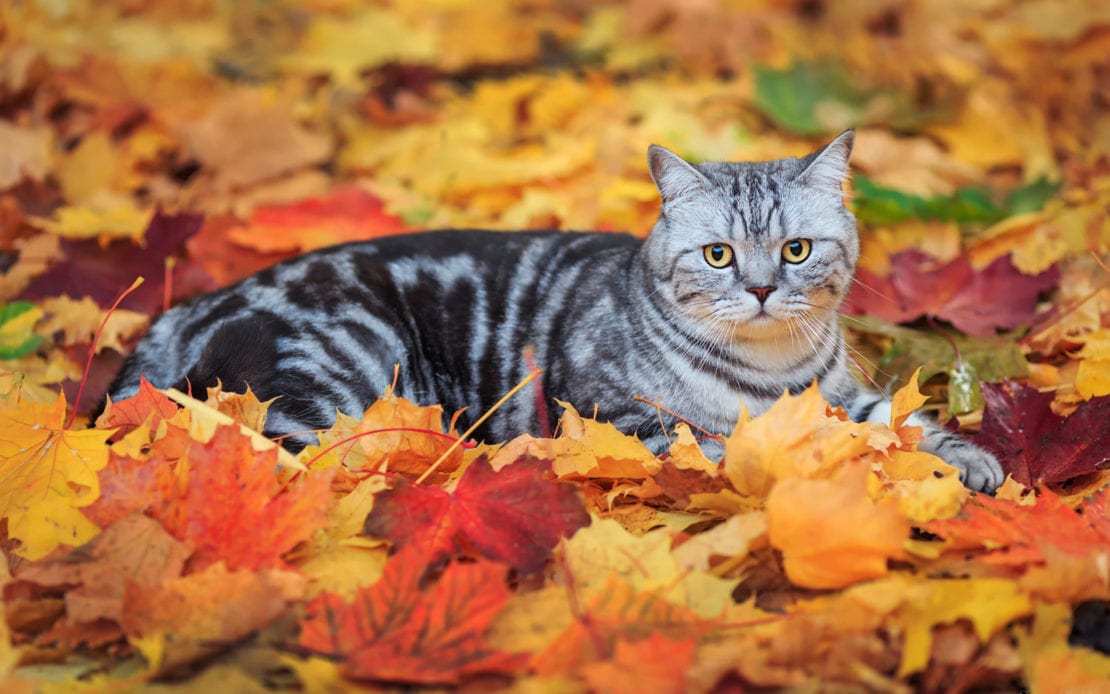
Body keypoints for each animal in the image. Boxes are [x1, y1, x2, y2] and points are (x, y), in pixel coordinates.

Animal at [106, 128, 1007, 486]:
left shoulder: (848, 390)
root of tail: (188, 309)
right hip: (341, 379)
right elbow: (728, 448)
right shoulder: (618, 414)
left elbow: (902, 420)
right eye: (719, 255)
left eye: (795, 251)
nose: (758, 289)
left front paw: (962, 458)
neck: (774, 371)